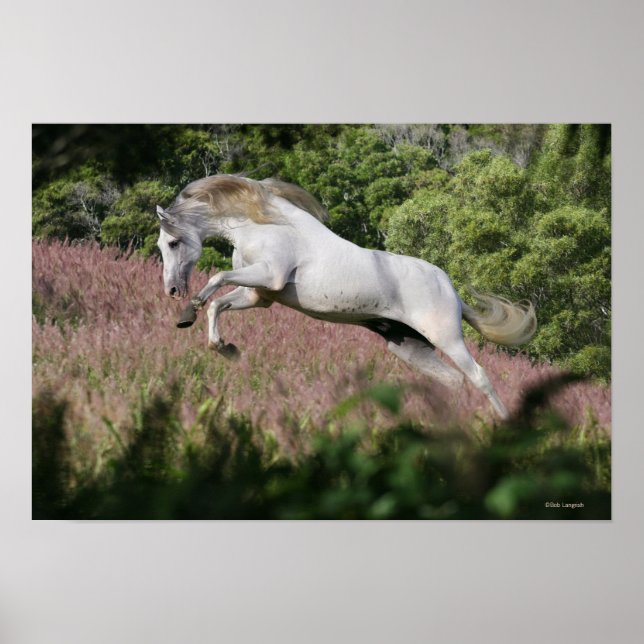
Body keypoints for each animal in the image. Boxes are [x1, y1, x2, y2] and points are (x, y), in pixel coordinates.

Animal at [156, 174, 536, 420]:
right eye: (161, 245)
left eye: (173, 242)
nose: (172, 290)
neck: (265, 225)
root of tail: (452, 289)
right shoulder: (258, 295)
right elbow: (218, 304)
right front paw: (222, 346)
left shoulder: (269, 275)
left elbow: (216, 279)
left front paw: (189, 311)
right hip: (408, 347)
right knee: (454, 381)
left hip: (447, 338)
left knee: (479, 377)